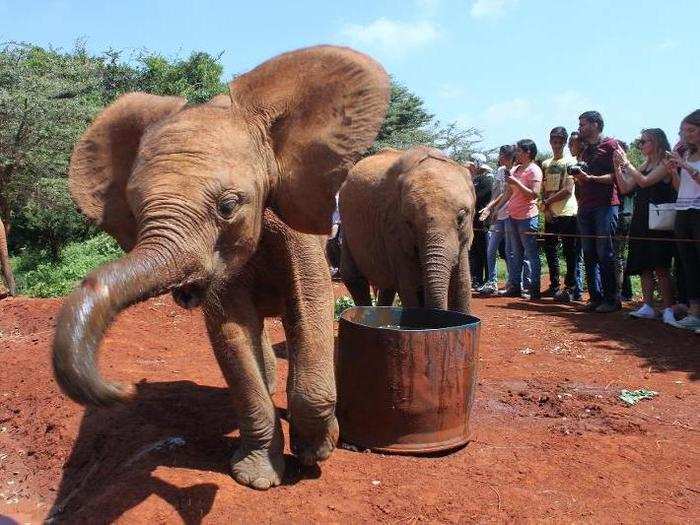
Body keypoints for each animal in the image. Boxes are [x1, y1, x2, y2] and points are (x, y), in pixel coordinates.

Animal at [52, 47, 392, 490]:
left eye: (228, 206)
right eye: (136, 210)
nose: (124, 389)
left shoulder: (297, 228)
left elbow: (310, 304)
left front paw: (316, 453)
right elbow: (230, 330)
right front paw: (257, 479)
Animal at [338, 145, 476, 314]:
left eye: (461, 219)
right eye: (409, 224)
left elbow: (462, 287)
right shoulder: (393, 229)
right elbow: (410, 288)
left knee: (388, 285)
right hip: (345, 224)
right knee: (354, 278)